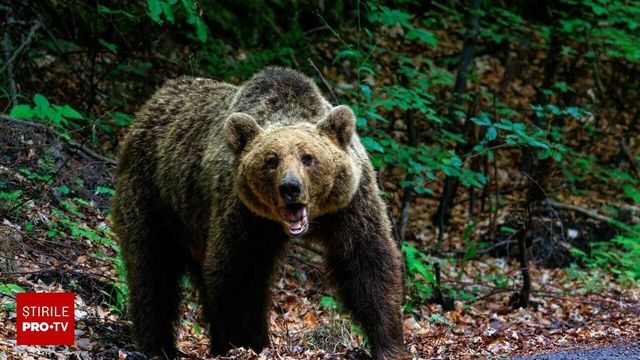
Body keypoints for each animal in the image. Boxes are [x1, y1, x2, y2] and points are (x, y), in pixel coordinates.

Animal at [111, 66, 404, 358]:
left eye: (308, 158)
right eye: (272, 160)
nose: (290, 188)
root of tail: (150, 104)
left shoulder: (350, 204)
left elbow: (367, 262)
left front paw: (388, 343)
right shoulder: (243, 213)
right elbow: (239, 275)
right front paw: (250, 343)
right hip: (154, 198)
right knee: (152, 271)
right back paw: (160, 346)